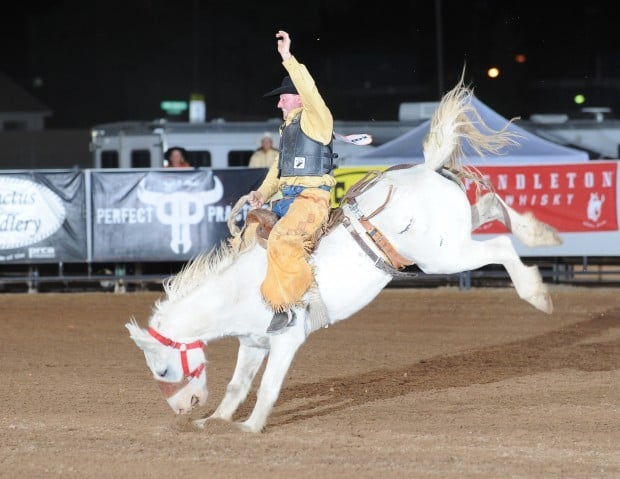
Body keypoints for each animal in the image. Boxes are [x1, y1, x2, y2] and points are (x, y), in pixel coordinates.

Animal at [126, 76, 560, 436]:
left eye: (162, 368)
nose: (184, 407)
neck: (238, 289)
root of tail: (425, 169)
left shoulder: (286, 340)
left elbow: (267, 387)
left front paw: (249, 428)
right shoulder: (253, 342)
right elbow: (237, 385)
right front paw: (214, 421)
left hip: (443, 257)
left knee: (499, 245)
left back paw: (537, 292)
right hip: (452, 234)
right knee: (490, 206)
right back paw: (541, 232)